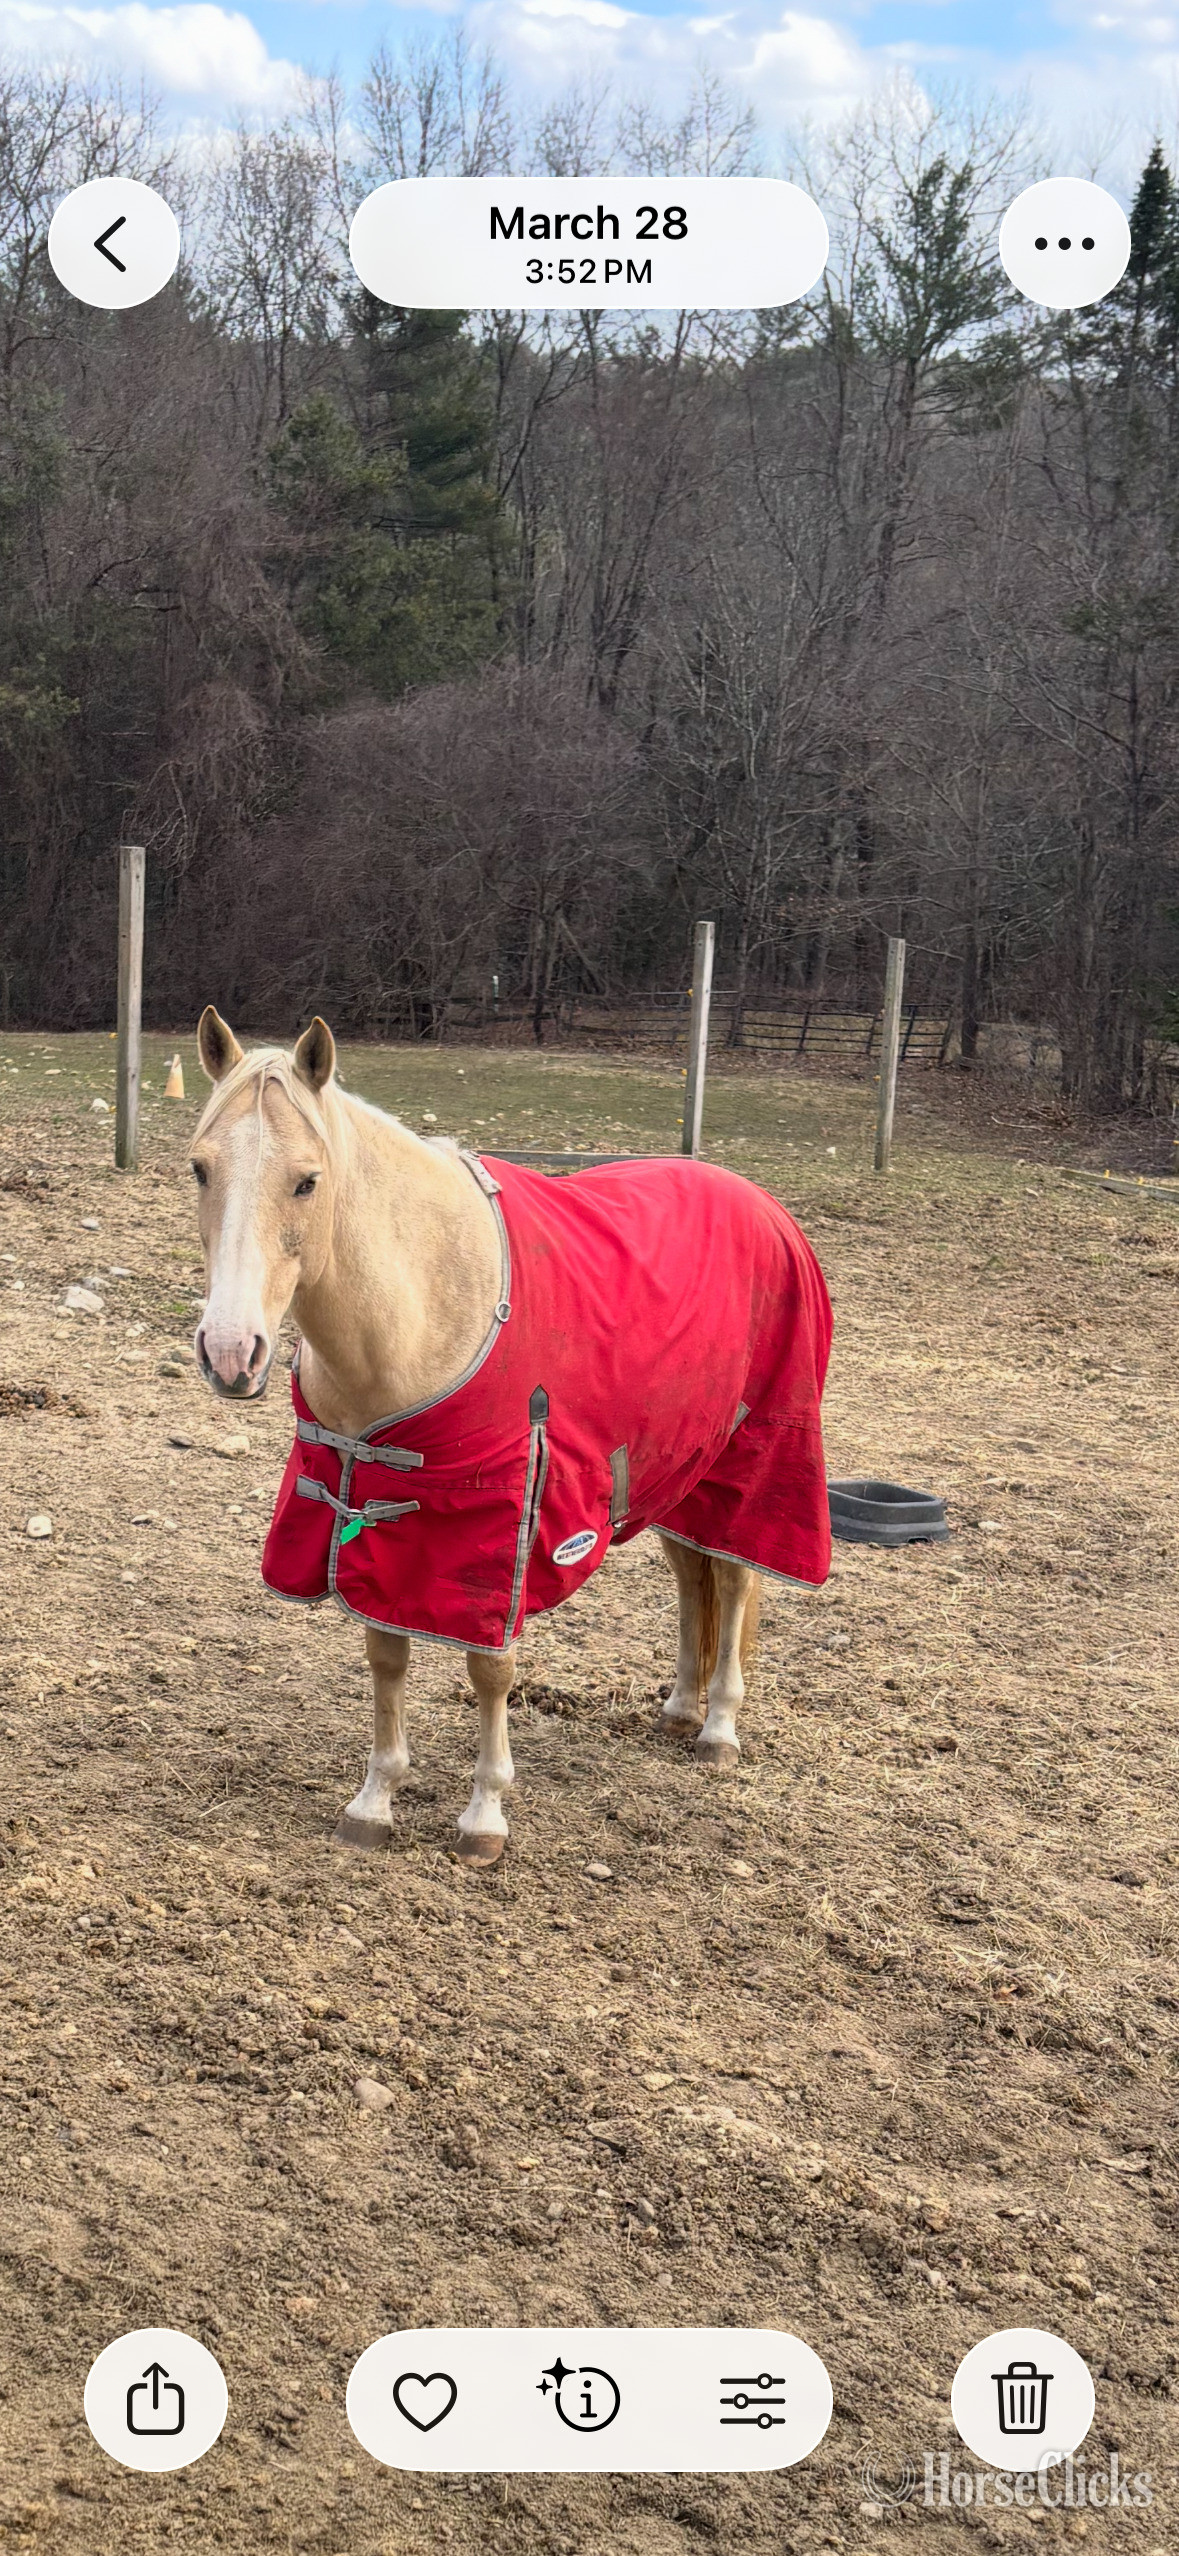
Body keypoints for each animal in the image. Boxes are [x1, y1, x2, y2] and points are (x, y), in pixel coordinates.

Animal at [189, 1008, 832, 1867]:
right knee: (691, 1578)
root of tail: (761, 1204)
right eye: (199, 1170)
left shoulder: (501, 1525)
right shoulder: (377, 1507)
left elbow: (490, 1667)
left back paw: (719, 1727)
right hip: (676, 1469)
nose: (230, 1353)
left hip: (747, 1458)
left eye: (306, 1180)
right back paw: (678, 1709)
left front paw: (483, 1817)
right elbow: (385, 1654)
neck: (424, 1304)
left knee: (730, 1580)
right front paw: (375, 1800)